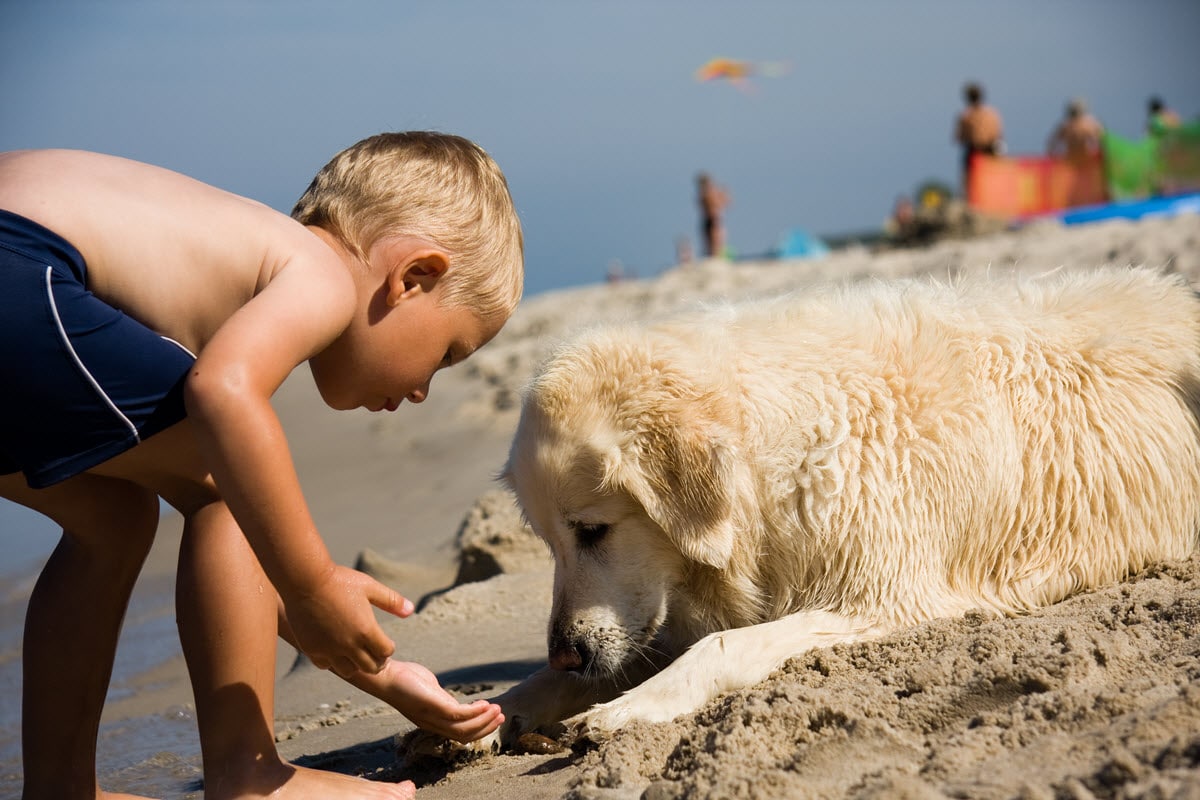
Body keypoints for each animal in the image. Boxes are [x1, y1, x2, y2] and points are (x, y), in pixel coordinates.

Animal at [484, 266, 1200, 748]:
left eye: (593, 530)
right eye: (550, 543)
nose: (566, 653)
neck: (773, 453)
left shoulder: (886, 598)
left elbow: (723, 644)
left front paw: (629, 708)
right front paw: (494, 713)